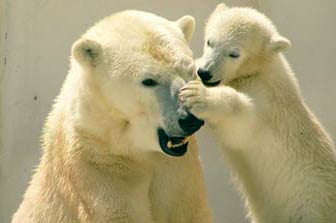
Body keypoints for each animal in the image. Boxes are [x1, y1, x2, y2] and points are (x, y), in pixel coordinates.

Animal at [180, 3, 336, 223]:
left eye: (234, 53)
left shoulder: (265, 103)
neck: (261, 69)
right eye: (210, 41)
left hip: (309, 207)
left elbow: (242, 123)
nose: (205, 72)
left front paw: (197, 95)